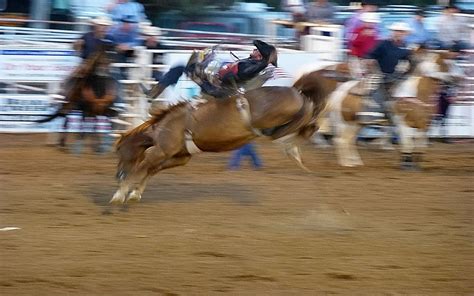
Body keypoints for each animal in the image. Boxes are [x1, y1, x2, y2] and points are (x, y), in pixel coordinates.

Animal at [109, 70, 328, 204]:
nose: (117, 174)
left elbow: (141, 168)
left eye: (119, 150)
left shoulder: (160, 150)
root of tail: (296, 92)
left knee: (301, 125)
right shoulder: (180, 157)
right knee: (310, 124)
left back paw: (291, 147)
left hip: (279, 117)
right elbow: (152, 170)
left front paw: (120, 194)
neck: (165, 125)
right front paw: (134, 193)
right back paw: (294, 148)